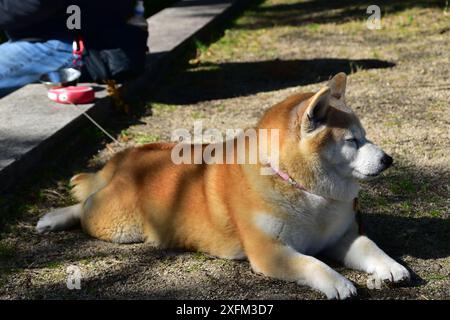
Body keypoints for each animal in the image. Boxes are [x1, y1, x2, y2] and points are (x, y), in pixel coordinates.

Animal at [37, 73, 410, 300]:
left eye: (366, 136)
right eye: (352, 141)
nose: (388, 159)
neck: (305, 192)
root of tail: (129, 156)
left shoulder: (340, 237)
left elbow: (370, 247)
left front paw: (391, 266)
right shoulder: (269, 252)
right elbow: (312, 264)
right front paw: (338, 282)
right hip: (116, 224)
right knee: (85, 204)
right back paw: (54, 217)